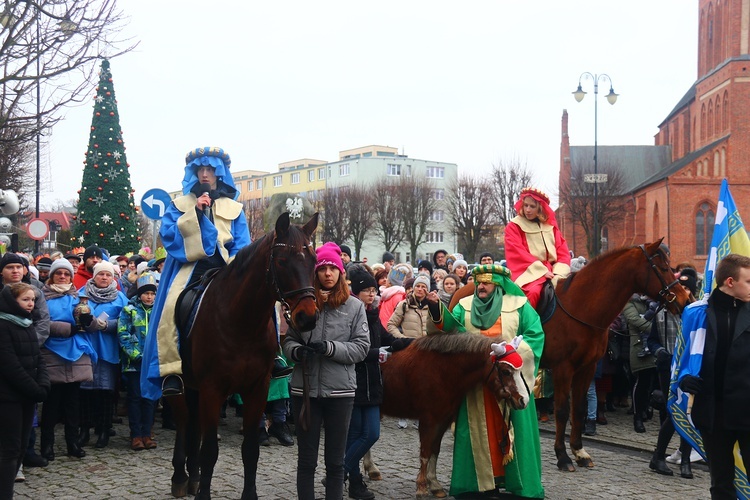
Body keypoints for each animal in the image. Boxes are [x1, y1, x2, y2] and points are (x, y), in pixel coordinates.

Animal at [169, 212, 318, 500]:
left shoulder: (257, 388)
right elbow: (210, 451)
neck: (241, 323)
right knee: (182, 422)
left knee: (193, 426)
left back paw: (193, 477)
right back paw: (181, 477)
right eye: (282, 261)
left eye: (314, 261)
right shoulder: (212, 389)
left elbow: (250, 449)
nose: (308, 317)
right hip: (180, 385)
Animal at [382, 332, 528, 496]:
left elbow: (434, 450)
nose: (524, 400)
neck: (441, 370)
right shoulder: (428, 420)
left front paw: (434, 484)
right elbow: (425, 452)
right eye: (506, 371)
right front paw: (421, 487)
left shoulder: (443, 420)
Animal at [450, 238, 696, 472]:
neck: (582, 307)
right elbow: (562, 410)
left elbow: (578, 408)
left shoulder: (587, 367)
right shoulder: (563, 368)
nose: (685, 300)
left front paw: (579, 451)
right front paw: (563, 456)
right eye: (663, 267)